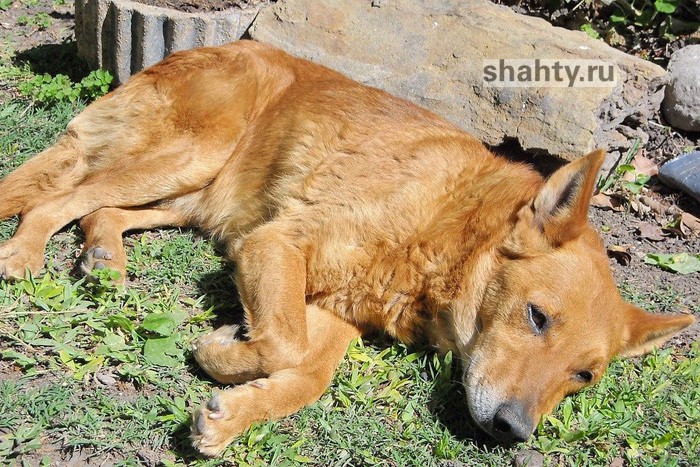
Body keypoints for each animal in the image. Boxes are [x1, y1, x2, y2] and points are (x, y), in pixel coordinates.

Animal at [0, 41, 692, 458]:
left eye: (583, 376)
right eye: (537, 317)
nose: (512, 431)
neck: (450, 226)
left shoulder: (337, 310)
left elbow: (309, 372)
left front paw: (234, 404)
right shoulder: (276, 243)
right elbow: (284, 344)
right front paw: (226, 350)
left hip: (195, 196)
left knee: (99, 209)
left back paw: (104, 259)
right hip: (191, 157)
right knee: (54, 199)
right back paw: (25, 256)